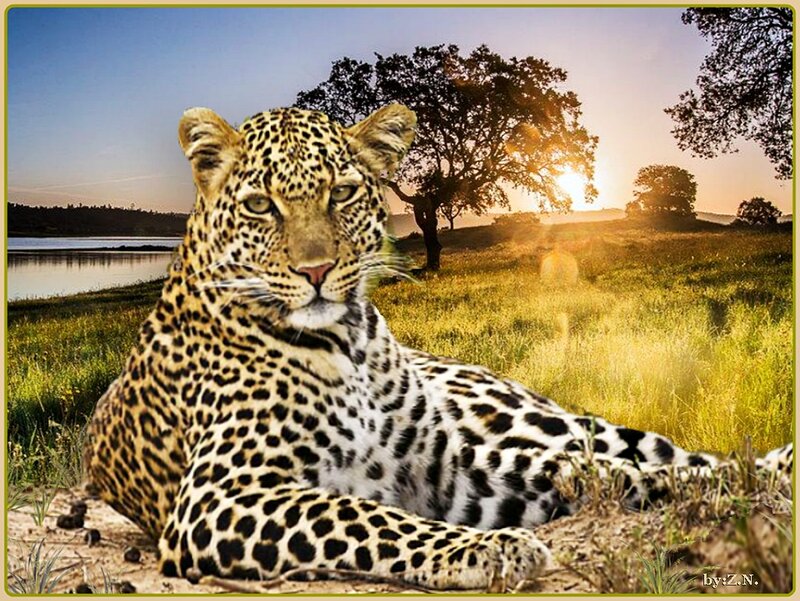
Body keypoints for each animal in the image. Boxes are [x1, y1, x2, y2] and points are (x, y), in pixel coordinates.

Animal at [83, 102, 793, 591]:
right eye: (261, 206)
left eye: (343, 192)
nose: (316, 271)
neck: (350, 342)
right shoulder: (222, 495)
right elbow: (364, 518)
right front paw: (490, 549)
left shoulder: (442, 466)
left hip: (520, 414)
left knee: (642, 453)